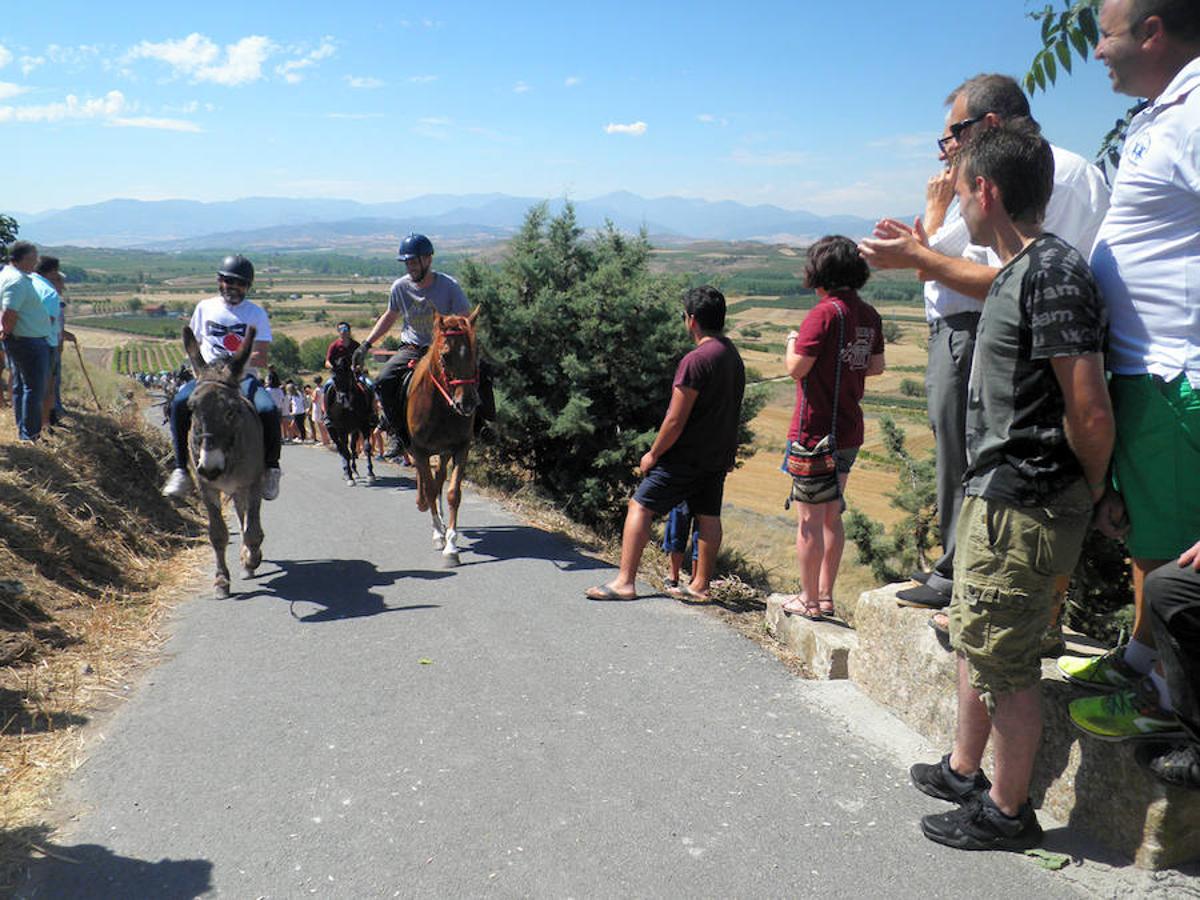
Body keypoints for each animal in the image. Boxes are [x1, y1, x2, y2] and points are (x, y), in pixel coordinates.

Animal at [181, 324, 264, 600]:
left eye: (231, 411)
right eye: (192, 409)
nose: (210, 467)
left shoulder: (253, 483)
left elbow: (253, 530)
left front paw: (252, 558)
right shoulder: (207, 488)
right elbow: (217, 534)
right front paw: (221, 581)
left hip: (243, 487)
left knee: (247, 518)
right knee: (240, 514)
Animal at [324, 357, 374, 487]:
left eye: (349, 376)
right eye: (334, 378)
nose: (343, 400)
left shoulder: (364, 425)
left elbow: (367, 447)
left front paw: (370, 473)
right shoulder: (341, 429)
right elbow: (345, 452)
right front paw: (350, 477)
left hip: (354, 430)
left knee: (352, 447)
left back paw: (354, 471)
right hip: (333, 431)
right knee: (341, 448)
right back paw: (346, 472)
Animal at [410, 309, 480, 564]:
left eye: (475, 352)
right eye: (446, 356)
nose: (467, 403)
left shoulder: (460, 448)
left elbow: (452, 493)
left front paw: (451, 545)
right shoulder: (419, 450)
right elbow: (430, 489)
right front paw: (439, 535)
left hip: (443, 451)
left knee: (439, 478)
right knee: (428, 481)